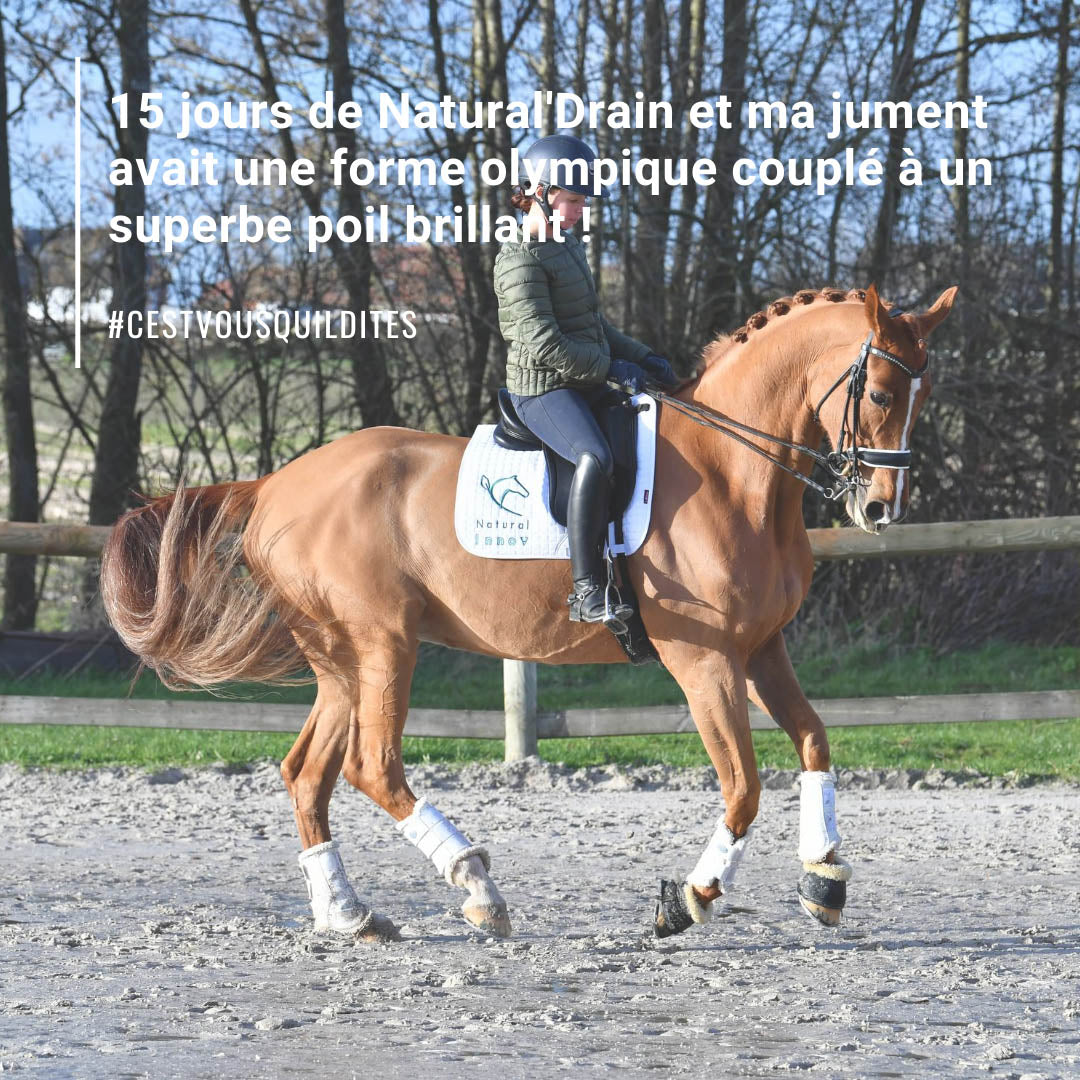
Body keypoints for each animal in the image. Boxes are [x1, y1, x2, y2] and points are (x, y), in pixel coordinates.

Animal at [100, 282, 957, 942]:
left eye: (925, 396)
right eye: (882, 393)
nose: (879, 508)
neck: (732, 473)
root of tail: (276, 486)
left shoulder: (762, 648)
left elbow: (814, 742)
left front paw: (824, 879)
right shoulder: (705, 660)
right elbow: (743, 784)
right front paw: (689, 899)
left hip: (341, 661)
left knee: (308, 774)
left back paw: (350, 916)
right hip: (382, 646)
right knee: (372, 766)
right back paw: (478, 890)